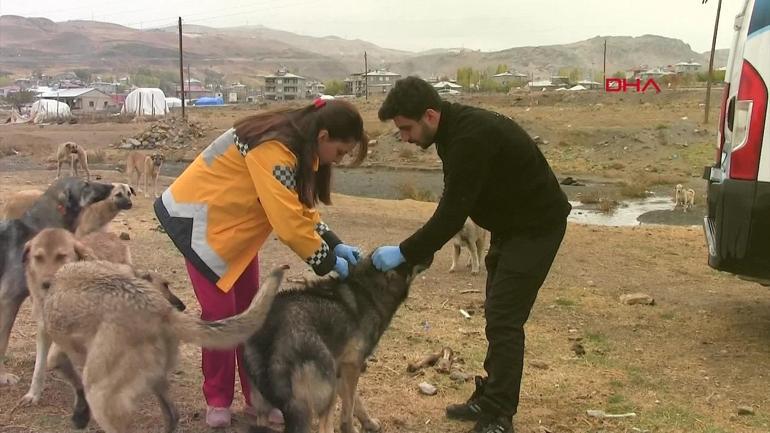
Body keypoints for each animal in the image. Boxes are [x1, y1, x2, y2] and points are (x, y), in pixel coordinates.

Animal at [243, 253, 428, 432]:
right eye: (409, 258)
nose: (429, 256)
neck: (368, 290)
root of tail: (274, 337)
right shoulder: (352, 366)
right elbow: (350, 405)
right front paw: (350, 428)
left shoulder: (341, 367)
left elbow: (355, 402)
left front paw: (369, 423)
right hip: (325, 394)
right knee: (324, 427)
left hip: (264, 404)